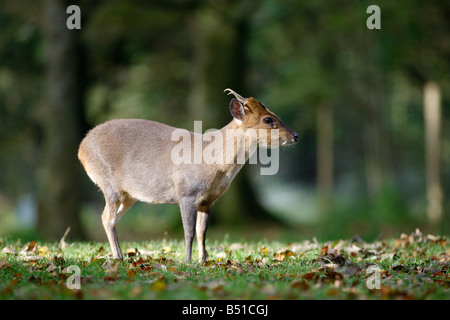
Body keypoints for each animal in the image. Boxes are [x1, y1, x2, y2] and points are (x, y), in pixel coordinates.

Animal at [78, 89, 298, 262]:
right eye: (268, 119)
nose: (295, 135)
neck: (214, 164)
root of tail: (81, 148)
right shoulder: (186, 192)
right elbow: (189, 232)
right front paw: (187, 260)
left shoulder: (209, 200)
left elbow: (202, 232)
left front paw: (203, 260)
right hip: (108, 183)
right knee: (107, 217)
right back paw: (119, 256)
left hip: (129, 195)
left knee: (110, 218)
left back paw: (120, 255)